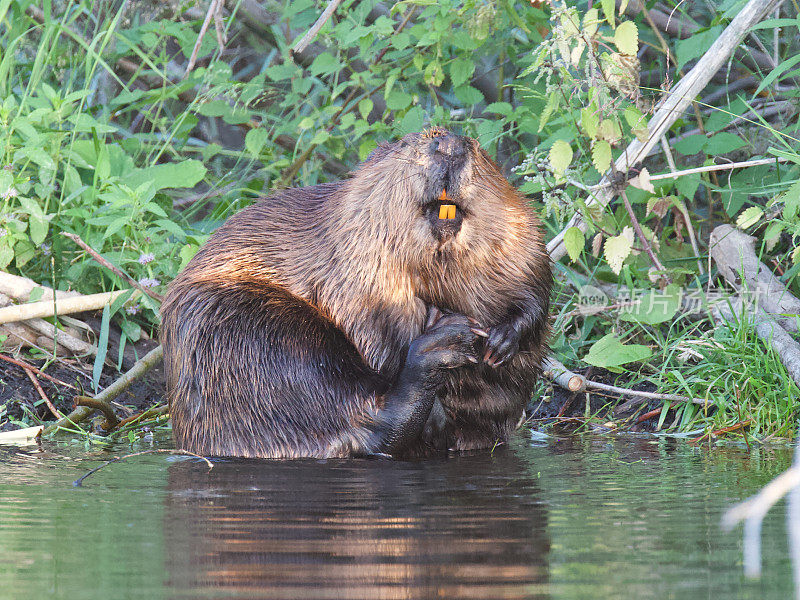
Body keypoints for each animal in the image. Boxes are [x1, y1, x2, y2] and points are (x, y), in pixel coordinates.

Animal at [162, 129, 552, 458]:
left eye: (477, 146)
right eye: (407, 142)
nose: (450, 146)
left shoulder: (521, 237)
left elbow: (535, 285)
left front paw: (501, 340)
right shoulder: (351, 253)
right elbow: (374, 323)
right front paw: (441, 332)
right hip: (250, 334)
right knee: (359, 414)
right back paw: (442, 347)